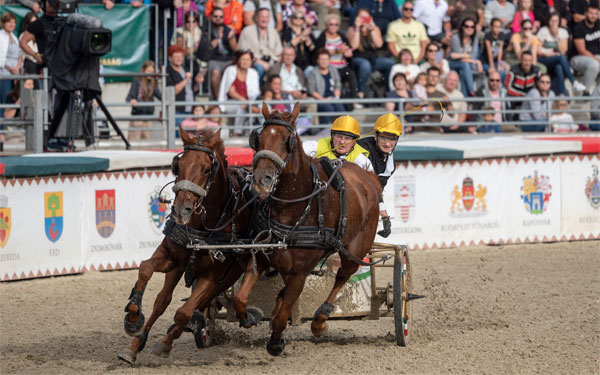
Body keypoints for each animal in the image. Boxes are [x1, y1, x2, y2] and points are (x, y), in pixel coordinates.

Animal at [118, 129, 256, 364]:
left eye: (207, 169)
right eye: (178, 165)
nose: (181, 210)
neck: (201, 225)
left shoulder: (212, 275)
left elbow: (184, 312)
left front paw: (166, 342)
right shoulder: (171, 256)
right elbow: (145, 269)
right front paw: (133, 319)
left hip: (227, 276)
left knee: (197, 305)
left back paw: (178, 332)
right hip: (181, 268)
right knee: (162, 301)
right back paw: (135, 345)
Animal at [233, 103, 380, 356]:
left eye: (287, 140)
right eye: (258, 139)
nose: (261, 180)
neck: (292, 208)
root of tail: (369, 177)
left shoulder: (300, 274)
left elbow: (283, 318)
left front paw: (276, 342)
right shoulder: (261, 255)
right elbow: (241, 299)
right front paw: (250, 317)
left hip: (356, 249)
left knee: (342, 276)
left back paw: (320, 319)